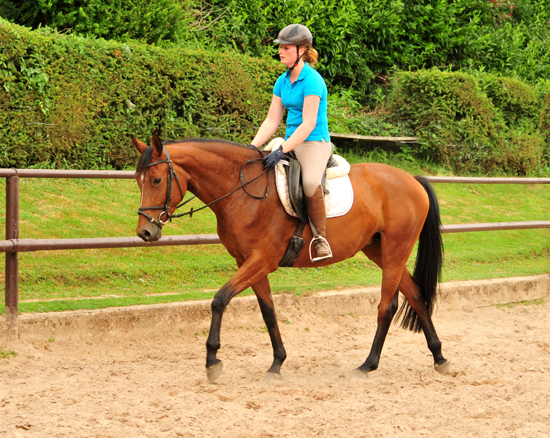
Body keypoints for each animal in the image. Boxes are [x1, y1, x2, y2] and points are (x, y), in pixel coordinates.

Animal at [132, 135, 450, 382]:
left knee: (387, 306)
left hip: (396, 250)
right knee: (415, 296)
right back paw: (438, 356)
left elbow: (220, 299)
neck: (244, 193)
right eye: (138, 181)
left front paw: (212, 361)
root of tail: (412, 180)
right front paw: (277, 363)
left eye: (157, 179)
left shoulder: (262, 260)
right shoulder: (247, 262)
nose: (145, 232)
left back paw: (368, 365)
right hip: (379, 251)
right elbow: (268, 311)